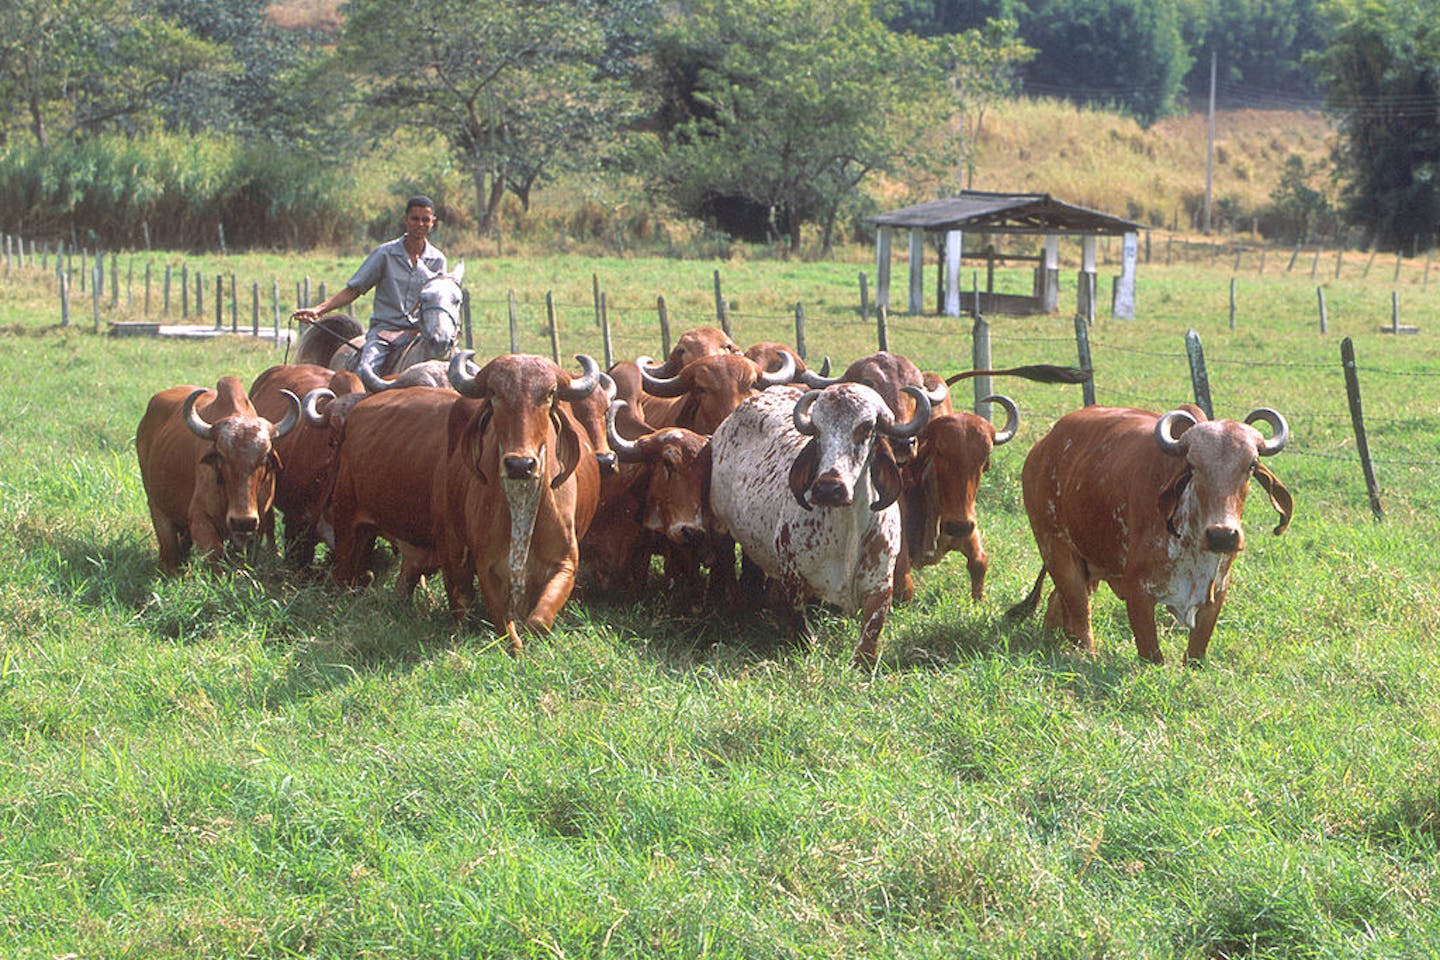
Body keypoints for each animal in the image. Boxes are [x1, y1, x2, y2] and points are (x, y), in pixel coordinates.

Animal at [136, 376, 300, 575]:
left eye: (265, 455)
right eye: (222, 455)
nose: (242, 521)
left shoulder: (259, 522)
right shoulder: (201, 519)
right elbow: (215, 556)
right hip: (157, 508)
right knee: (169, 550)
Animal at [436, 352, 603, 653]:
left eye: (550, 393)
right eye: (494, 392)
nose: (520, 465)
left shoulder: (565, 564)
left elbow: (538, 622)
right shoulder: (487, 567)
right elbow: (505, 626)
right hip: (452, 542)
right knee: (459, 597)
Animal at [709, 382, 931, 666]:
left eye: (866, 428)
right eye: (817, 430)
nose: (828, 489)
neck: (847, 530)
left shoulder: (880, 586)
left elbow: (870, 635)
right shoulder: (792, 575)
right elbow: (799, 622)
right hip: (722, 529)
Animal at [1009, 404, 1293, 665]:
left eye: (1252, 464)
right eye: (1192, 465)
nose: (1222, 535)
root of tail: (1043, 446)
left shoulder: (1217, 592)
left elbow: (1195, 655)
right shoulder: (1137, 590)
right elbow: (1152, 655)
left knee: (1057, 601)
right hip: (1056, 549)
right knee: (1080, 612)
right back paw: (1085, 655)